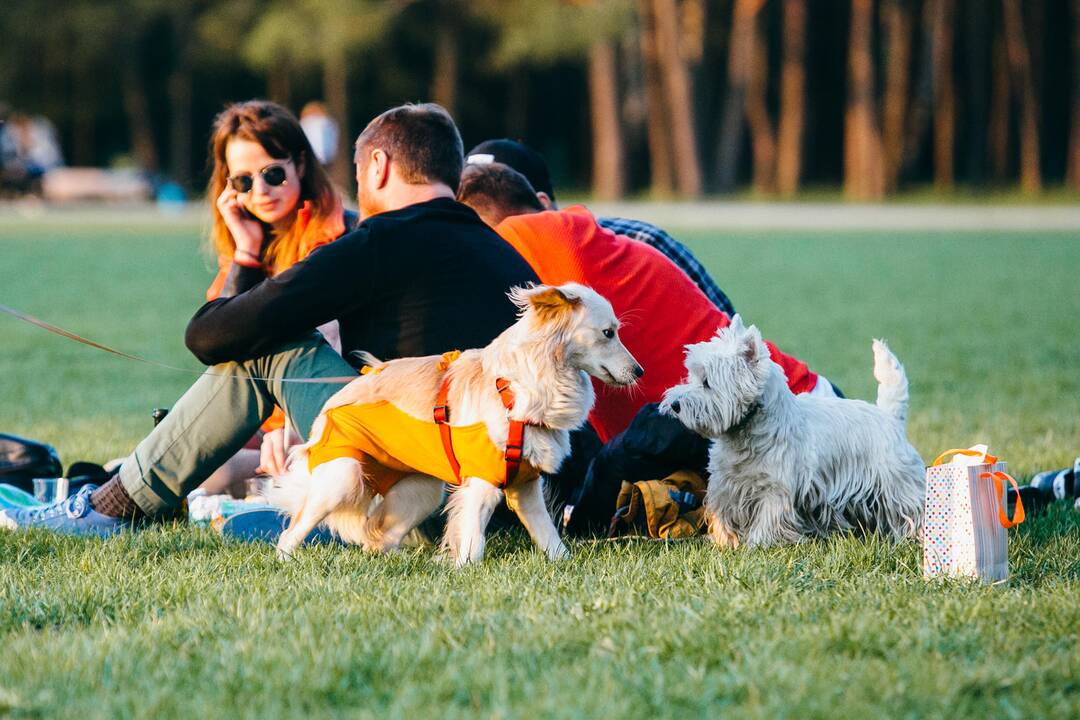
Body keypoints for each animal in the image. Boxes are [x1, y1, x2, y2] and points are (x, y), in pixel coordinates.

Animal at [267, 284, 639, 565]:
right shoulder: (482, 485)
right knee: (291, 532)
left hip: (421, 492)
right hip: (343, 479)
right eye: (608, 333)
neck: (519, 392)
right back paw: (287, 562)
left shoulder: (526, 485)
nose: (640, 372)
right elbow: (473, 541)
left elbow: (550, 537)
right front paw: (463, 570)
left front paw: (564, 562)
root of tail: (332, 403)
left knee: (377, 538)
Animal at [660, 317, 924, 548]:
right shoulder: (726, 485)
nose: (675, 405)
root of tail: (890, 417)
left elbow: (768, 518)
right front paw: (725, 542)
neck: (745, 436)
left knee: (913, 507)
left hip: (897, 484)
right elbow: (723, 514)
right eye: (692, 376)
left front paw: (758, 545)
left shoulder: (774, 488)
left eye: (707, 383)